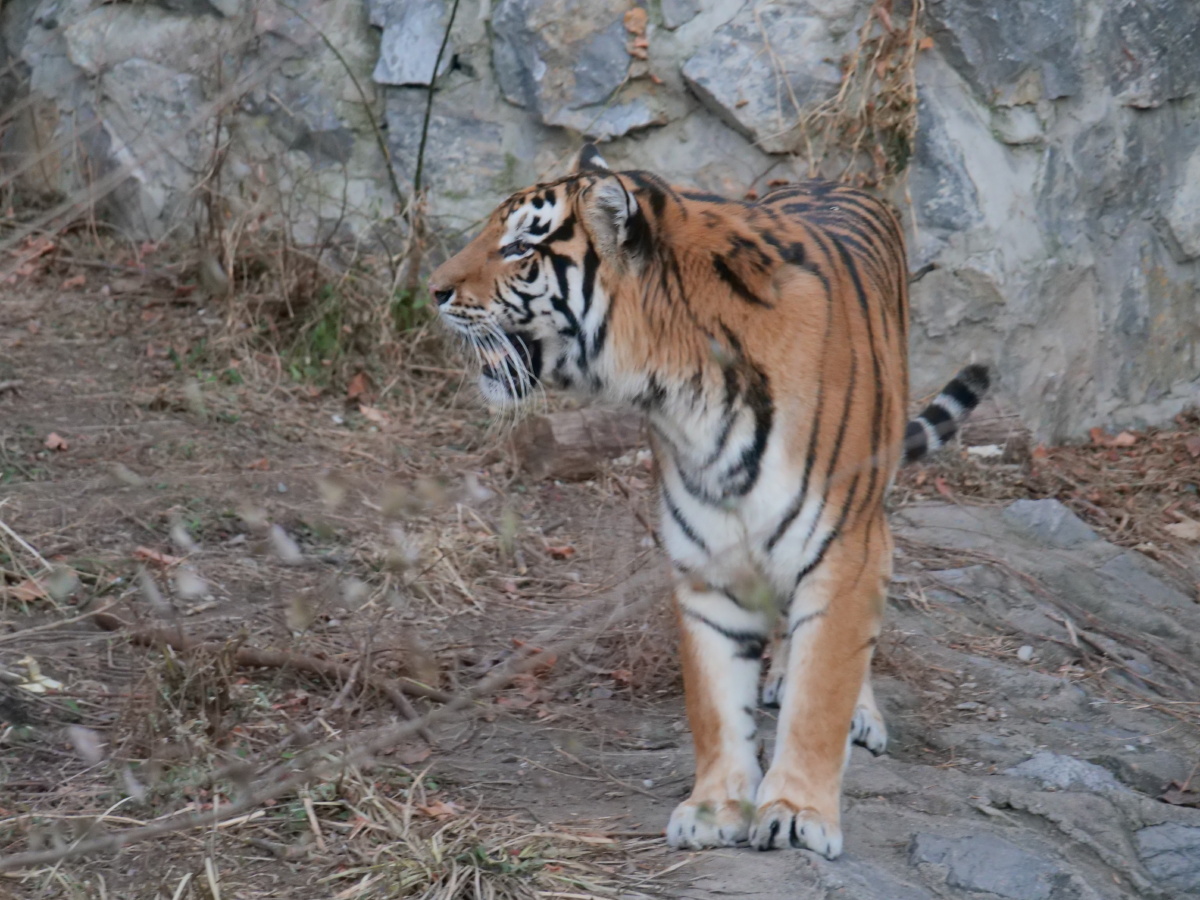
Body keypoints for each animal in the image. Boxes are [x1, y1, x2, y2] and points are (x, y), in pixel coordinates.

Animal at [429, 144, 989, 858]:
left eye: (522, 245)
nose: (433, 290)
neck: (685, 390)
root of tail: (831, 179)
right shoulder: (706, 560)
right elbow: (716, 701)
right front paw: (717, 808)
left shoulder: (843, 550)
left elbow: (821, 693)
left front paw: (797, 812)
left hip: (871, 516)